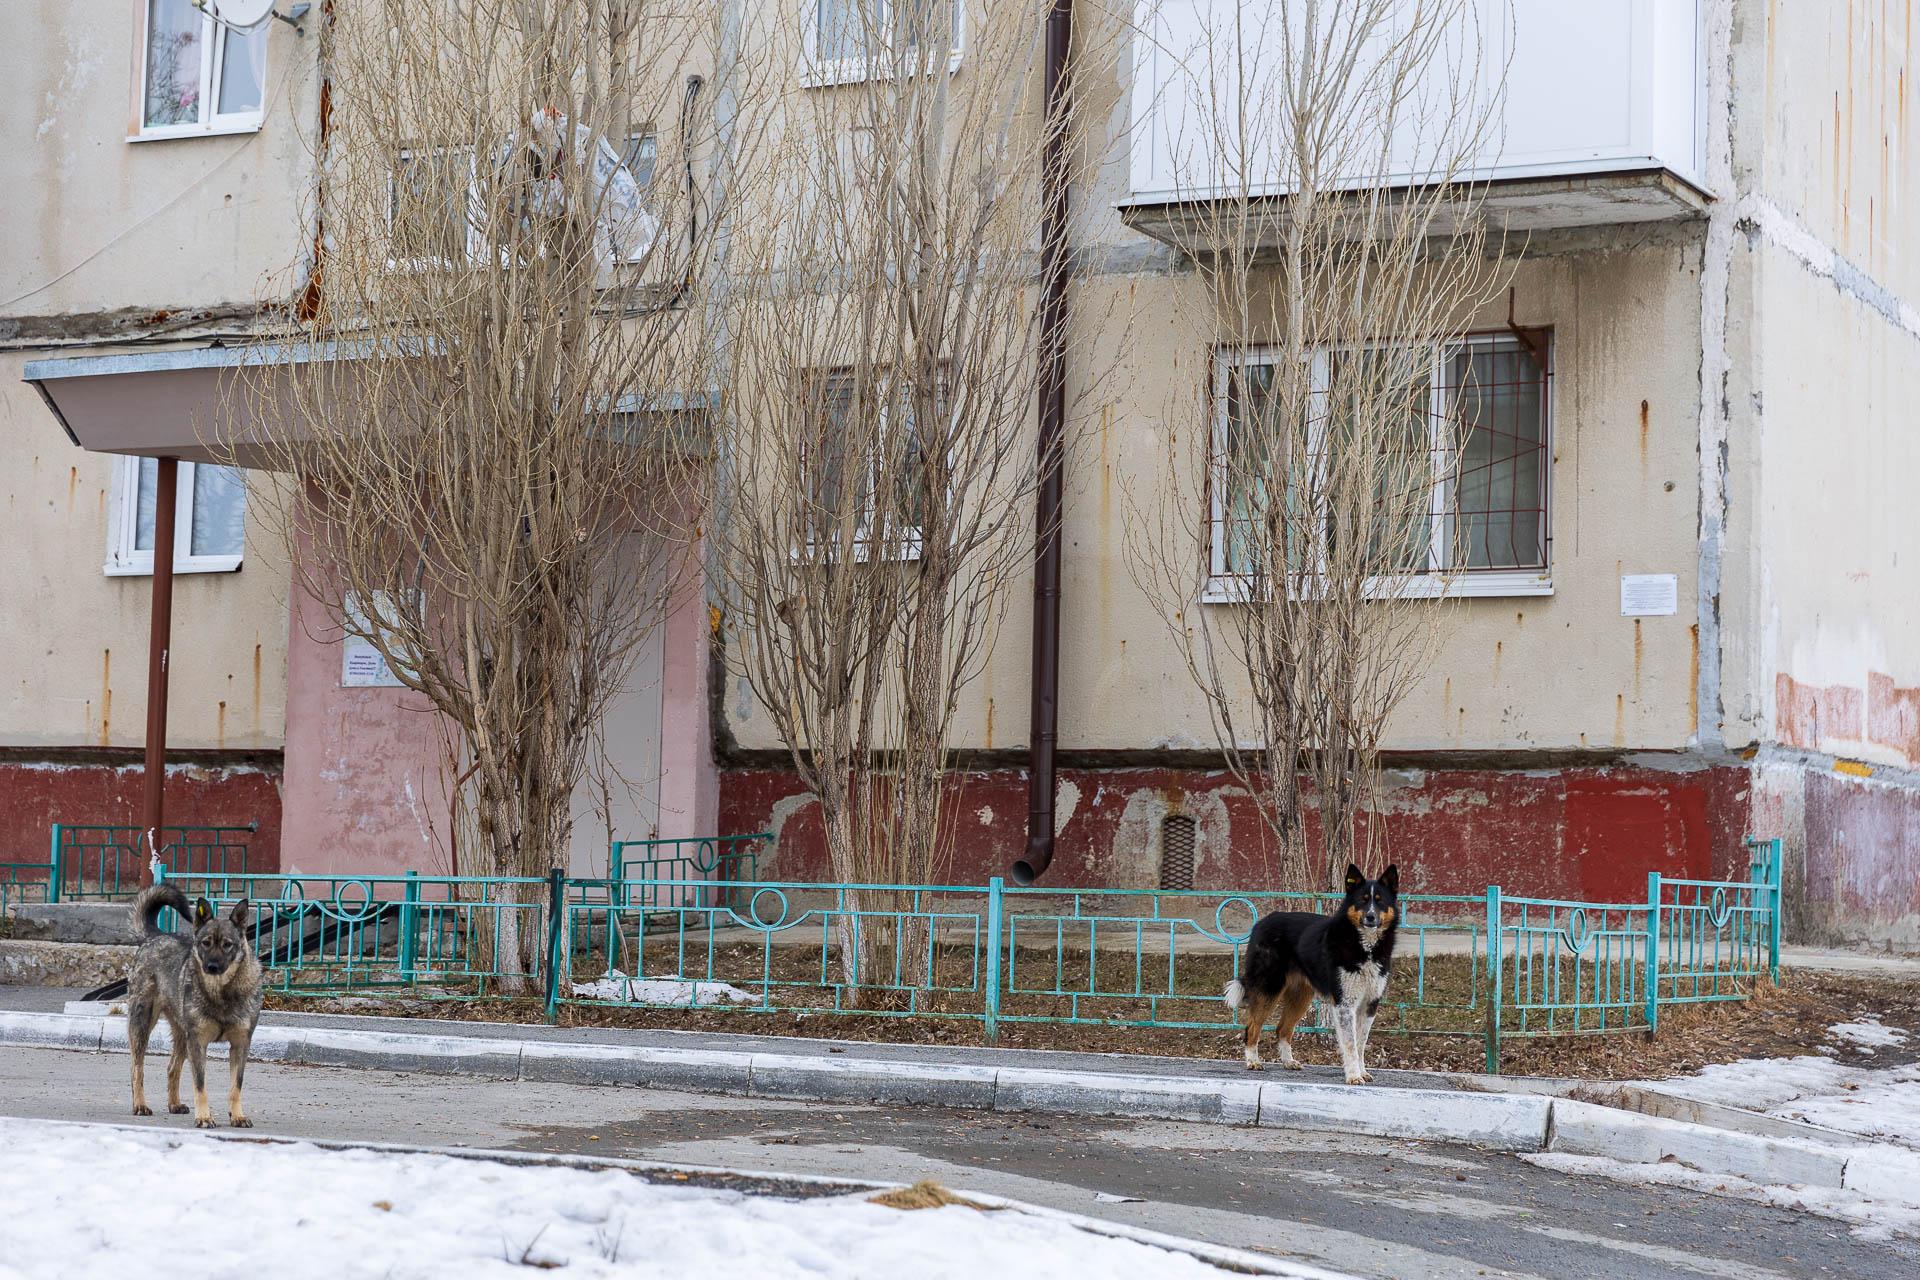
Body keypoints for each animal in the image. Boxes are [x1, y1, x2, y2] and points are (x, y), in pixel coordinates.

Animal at [127, 886, 261, 1128]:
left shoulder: (241, 1044)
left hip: (182, 1035)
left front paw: (237, 1116)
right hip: (142, 1024)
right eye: (205, 943)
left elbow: (235, 1086)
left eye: (227, 944)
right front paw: (204, 1117)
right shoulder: (198, 1043)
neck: (221, 992)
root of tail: (155, 936)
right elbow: (200, 1086)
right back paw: (140, 1104)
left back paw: (174, 1104)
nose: (212, 966)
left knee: (172, 1068)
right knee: (136, 1069)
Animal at [1221, 867, 1405, 1090]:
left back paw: (1288, 1062)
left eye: (1380, 901)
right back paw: (1252, 1061)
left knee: (1282, 1029)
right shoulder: (1344, 1003)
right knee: (1252, 1027)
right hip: (1269, 987)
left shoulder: (1370, 1004)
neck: (1364, 946)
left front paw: (1362, 1072)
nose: (1370, 917)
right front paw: (1353, 1076)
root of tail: (1262, 921)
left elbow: (1361, 1043)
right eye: (1362, 901)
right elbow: (1350, 1044)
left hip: (1301, 997)